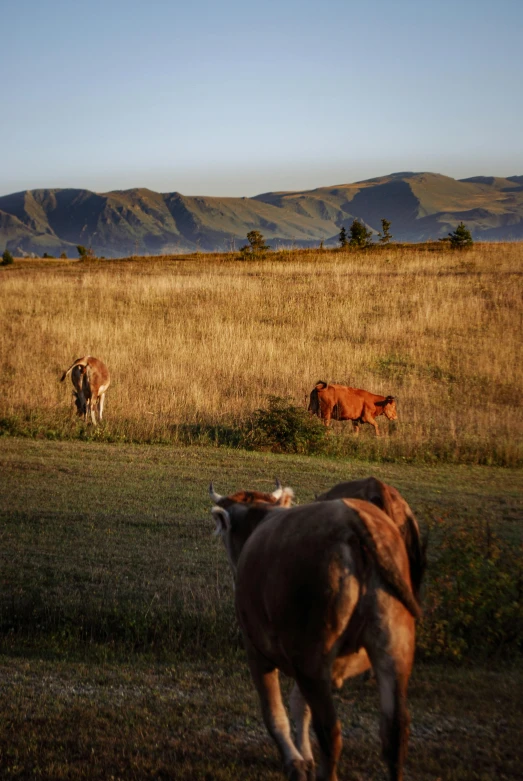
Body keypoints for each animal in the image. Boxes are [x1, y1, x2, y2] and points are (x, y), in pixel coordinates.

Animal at [211, 482, 420, 780]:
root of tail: (353, 521)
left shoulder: (258, 651)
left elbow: (275, 712)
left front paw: (295, 761)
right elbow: (300, 706)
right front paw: (305, 755)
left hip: (312, 658)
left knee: (330, 732)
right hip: (394, 651)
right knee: (394, 732)